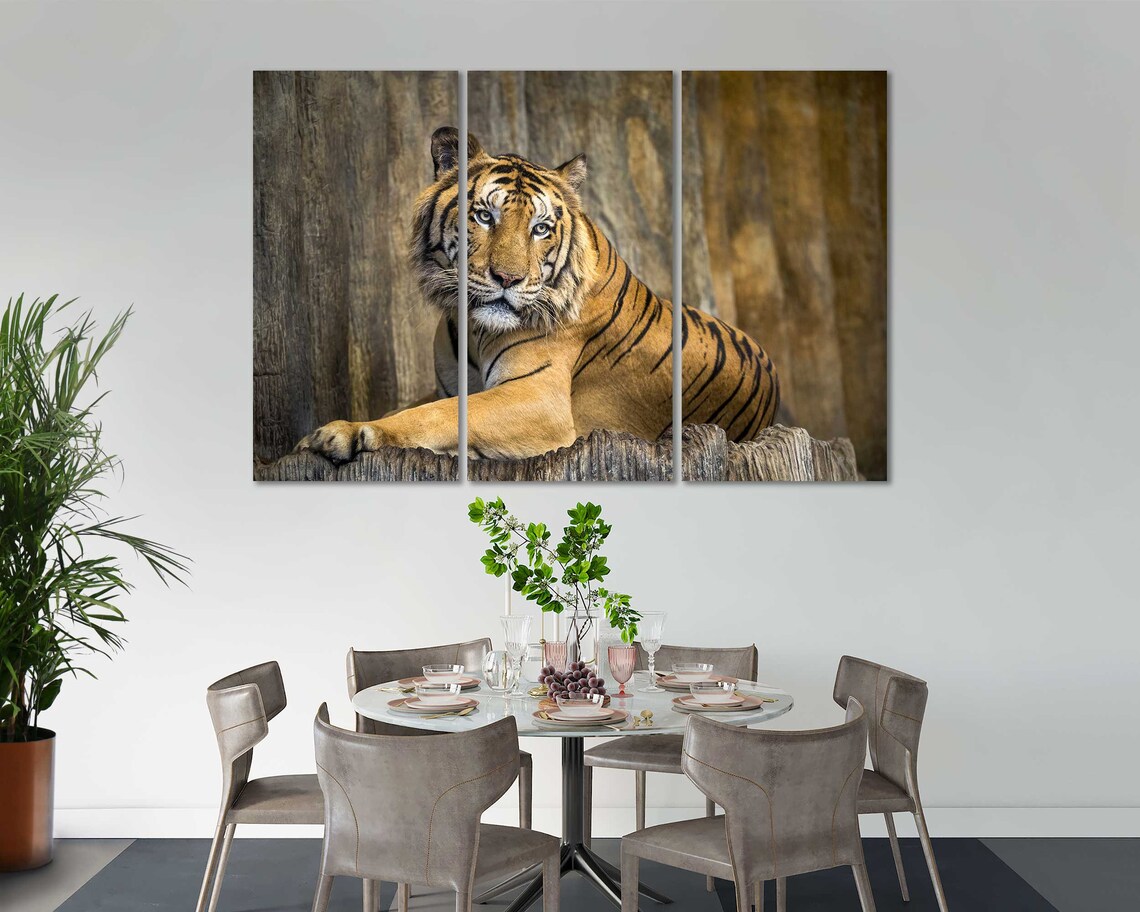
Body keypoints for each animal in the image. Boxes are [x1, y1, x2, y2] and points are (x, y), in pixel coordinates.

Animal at [295, 126, 779, 462]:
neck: (472, 329)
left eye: (541, 228)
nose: (507, 278)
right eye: (483, 216)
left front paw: (348, 432)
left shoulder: (538, 398)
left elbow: (437, 414)